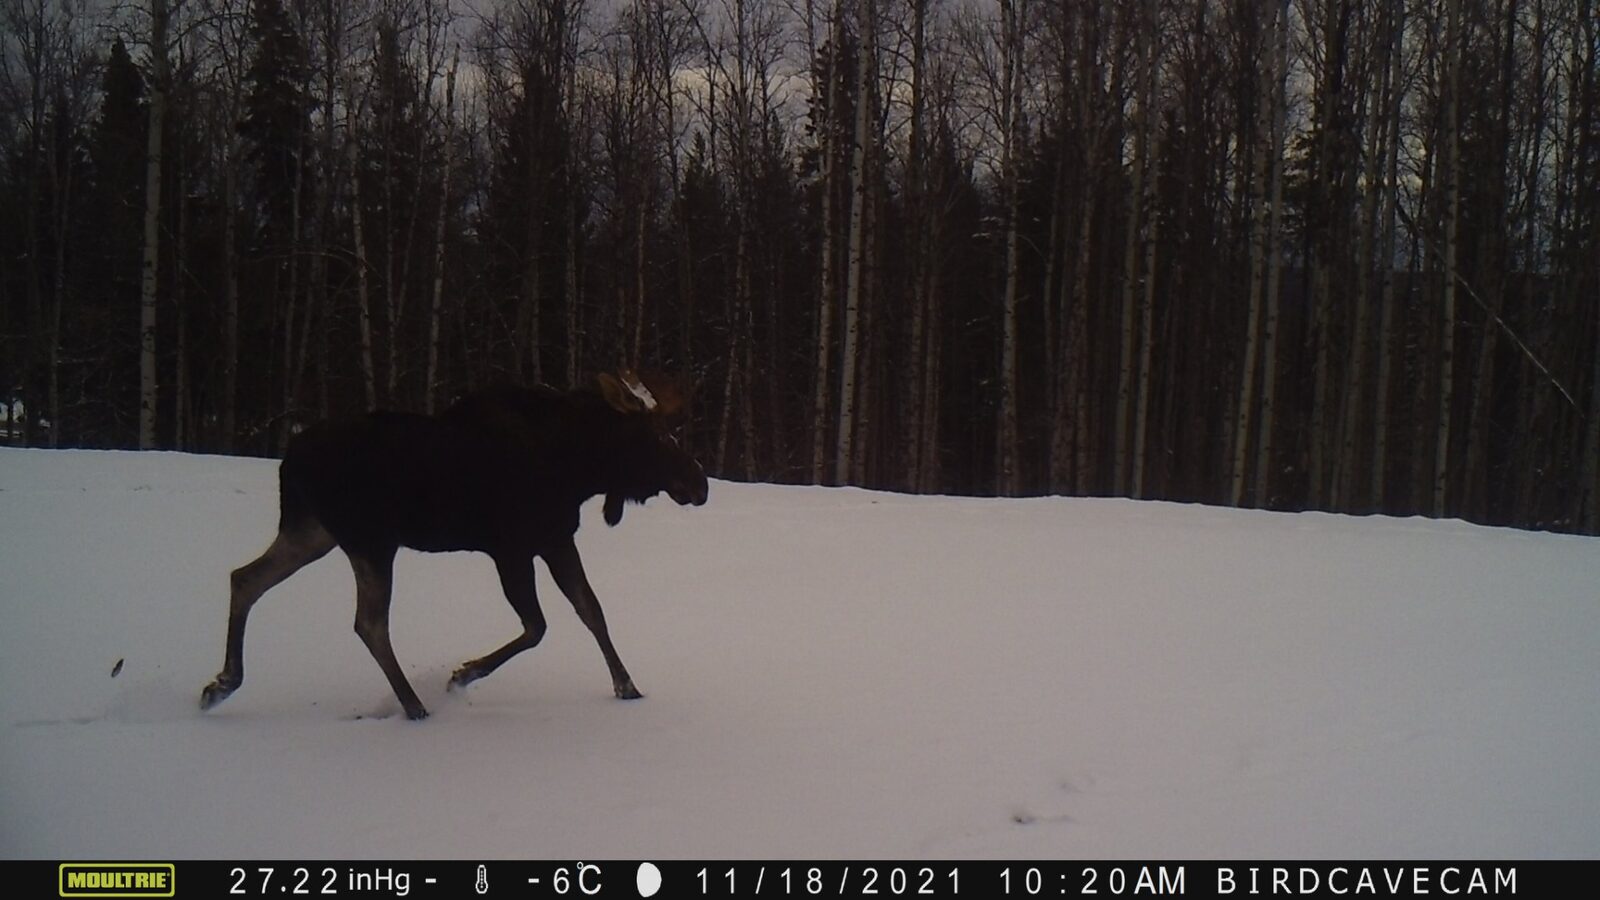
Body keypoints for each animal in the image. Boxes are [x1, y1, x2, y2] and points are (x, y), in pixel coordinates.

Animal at [200, 371, 708, 720]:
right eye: (657, 433)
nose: (700, 484)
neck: (580, 468)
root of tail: (289, 460)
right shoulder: (511, 548)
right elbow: (537, 626)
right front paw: (461, 675)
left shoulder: (556, 539)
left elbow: (592, 611)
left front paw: (629, 688)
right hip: (370, 540)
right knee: (369, 622)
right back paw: (414, 707)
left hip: (312, 532)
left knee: (245, 578)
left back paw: (222, 683)